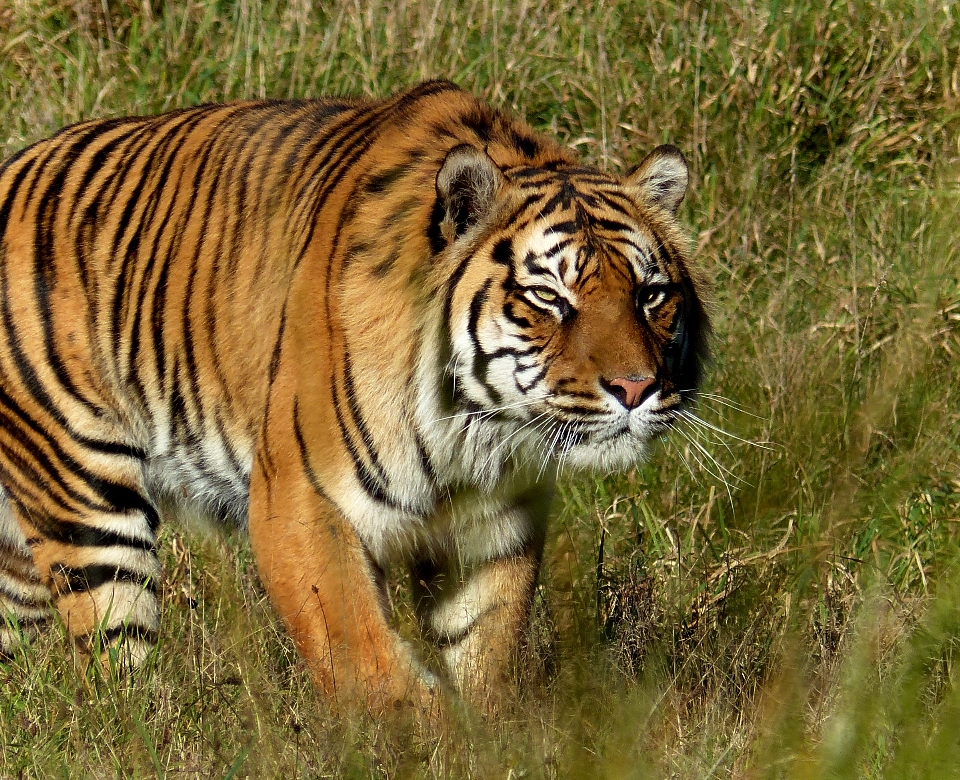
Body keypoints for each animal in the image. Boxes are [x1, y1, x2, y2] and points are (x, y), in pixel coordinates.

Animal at [0, 82, 704, 716]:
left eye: (649, 295)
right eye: (549, 298)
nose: (636, 387)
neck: (473, 428)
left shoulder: (491, 527)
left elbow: (484, 655)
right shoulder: (300, 502)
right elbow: (372, 663)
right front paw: (430, 741)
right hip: (89, 504)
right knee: (117, 676)